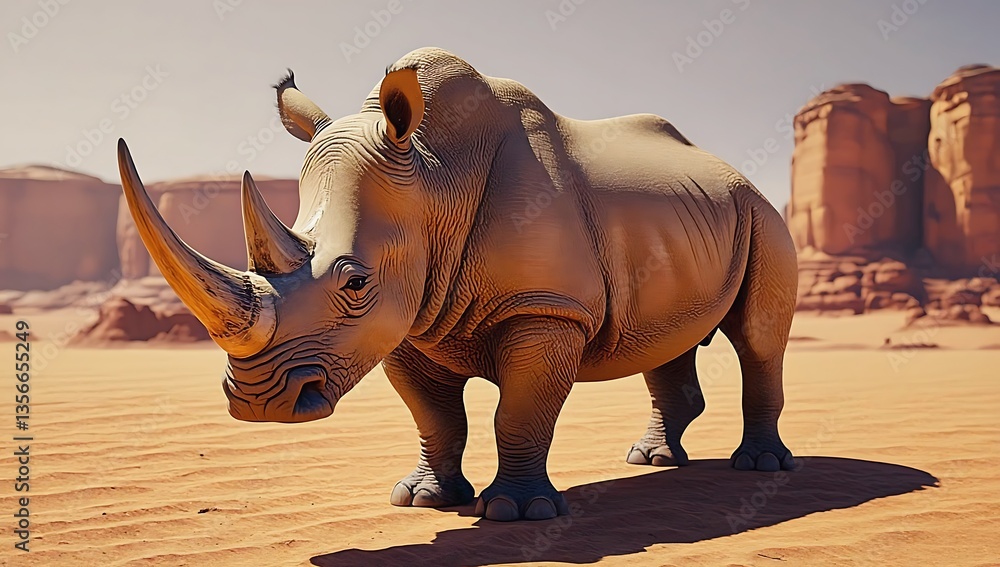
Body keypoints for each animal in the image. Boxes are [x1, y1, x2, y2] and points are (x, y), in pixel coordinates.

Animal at [117, 47, 798, 521]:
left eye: (355, 282)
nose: (260, 405)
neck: (436, 175)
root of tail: (728, 170)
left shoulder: (546, 309)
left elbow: (518, 412)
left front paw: (517, 513)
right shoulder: (408, 319)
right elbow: (436, 416)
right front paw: (422, 500)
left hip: (762, 214)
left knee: (758, 339)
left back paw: (760, 467)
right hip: (689, 221)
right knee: (666, 339)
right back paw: (651, 460)